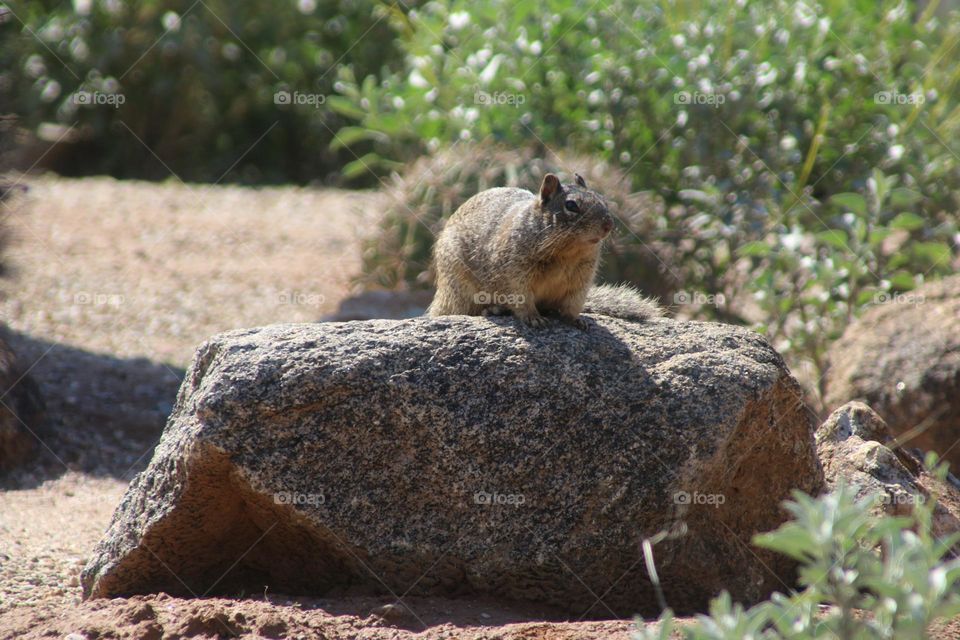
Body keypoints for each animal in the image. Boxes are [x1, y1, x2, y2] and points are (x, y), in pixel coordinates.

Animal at [427, 172, 661, 328]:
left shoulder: (581, 278)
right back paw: (493, 309)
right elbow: (521, 297)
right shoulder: (514, 272)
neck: (567, 251)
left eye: (602, 199)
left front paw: (576, 320)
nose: (608, 225)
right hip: (460, 284)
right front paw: (534, 318)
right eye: (571, 205)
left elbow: (572, 302)